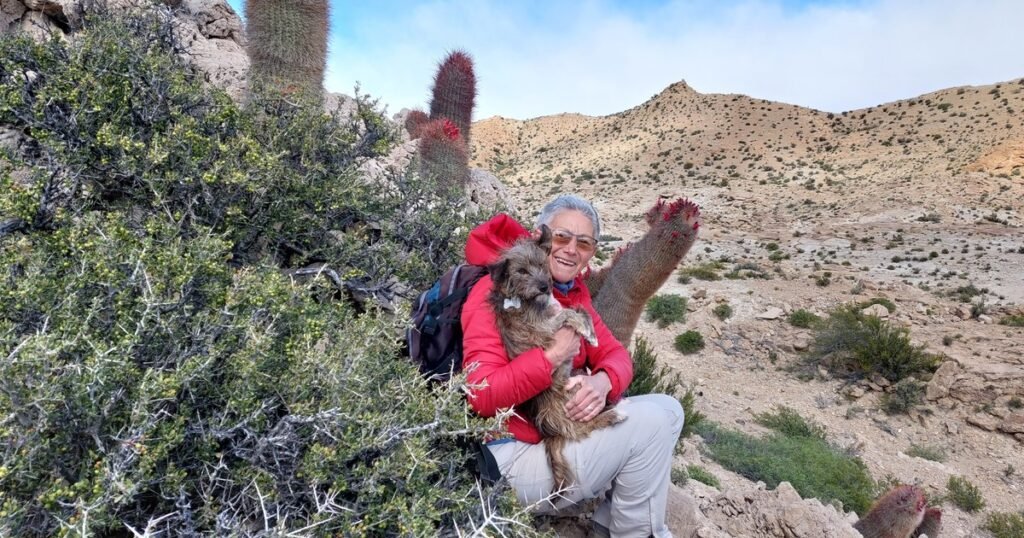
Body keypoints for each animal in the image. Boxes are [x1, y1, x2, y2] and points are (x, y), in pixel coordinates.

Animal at [487, 224, 622, 493]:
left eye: (543, 265)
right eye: (521, 271)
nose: (544, 287)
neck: (525, 299)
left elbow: (580, 309)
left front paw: (591, 334)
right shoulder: (543, 330)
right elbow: (569, 312)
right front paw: (584, 330)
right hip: (572, 397)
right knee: (580, 428)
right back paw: (614, 415)